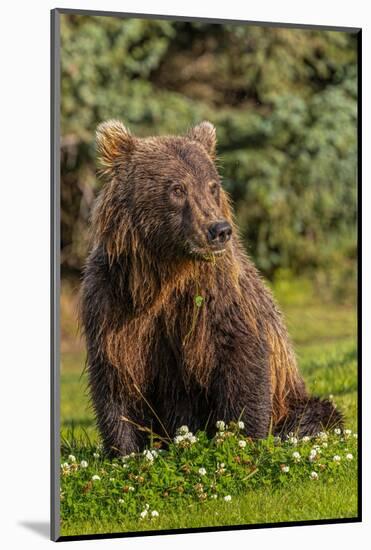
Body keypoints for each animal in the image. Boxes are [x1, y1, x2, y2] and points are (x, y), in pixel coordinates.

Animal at [80, 123, 342, 460]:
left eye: (212, 186)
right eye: (177, 188)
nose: (219, 230)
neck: (165, 273)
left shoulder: (218, 296)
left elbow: (241, 357)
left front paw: (242, 438)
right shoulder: (113, 302)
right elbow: (117, 377)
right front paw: (125, 452)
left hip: (293, 399)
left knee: (316, 415)